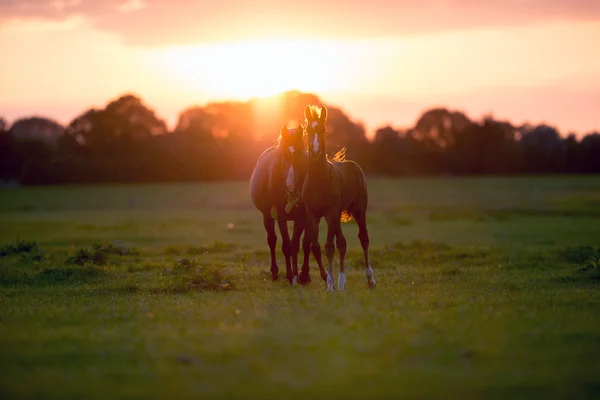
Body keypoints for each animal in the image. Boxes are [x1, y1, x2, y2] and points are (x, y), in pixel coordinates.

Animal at [250, 125, 312, 284]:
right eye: (283, 156)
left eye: (300, 153)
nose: (291, 187)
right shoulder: (281, 216)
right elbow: (286, 246)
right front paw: (290, 275)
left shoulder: (302, 217)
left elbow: (298, 244)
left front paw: (301, 275)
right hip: (267, 216)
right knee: (272, 240)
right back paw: (275, 272)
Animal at [300, 104, 376, 290]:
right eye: (307, 129)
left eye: (323, 129)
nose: (315, 151)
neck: (319, 180)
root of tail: (354, 165)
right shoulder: (312, 214)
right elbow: (316, 245)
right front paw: (332, 282)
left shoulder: (330, 212)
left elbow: (329, 247)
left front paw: (329, 284)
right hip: (337, 215)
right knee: (342, 242)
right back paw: (341, 282)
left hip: (357, 210)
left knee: (363, 238)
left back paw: (370, 279)